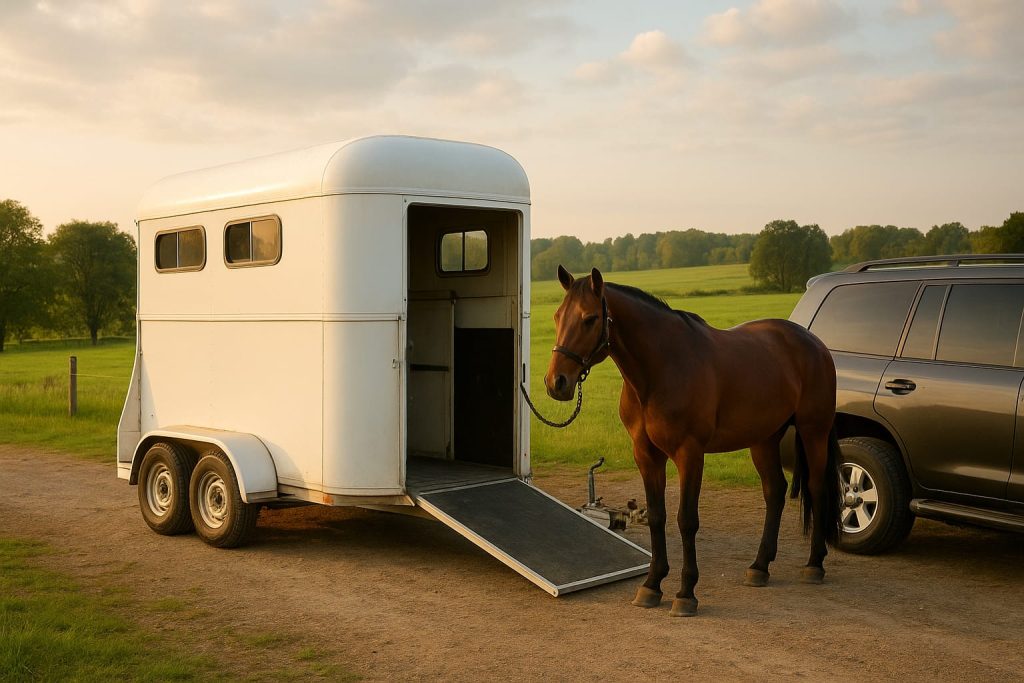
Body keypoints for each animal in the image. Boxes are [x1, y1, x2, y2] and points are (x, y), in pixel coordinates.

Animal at [544, 265, 841, 617]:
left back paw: (814, 564)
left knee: (816, 487)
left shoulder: (690, 453)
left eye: (589, 318)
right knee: (775, 492)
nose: (556, 382)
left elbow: (686, 520)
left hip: (814, 431)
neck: (661, 370)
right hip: (764, 439)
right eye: (557, 316)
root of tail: (814, 342)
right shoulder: (646, 455)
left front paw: (686, 593)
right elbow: (656, 516)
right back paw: (760, 566)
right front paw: (652, 585)